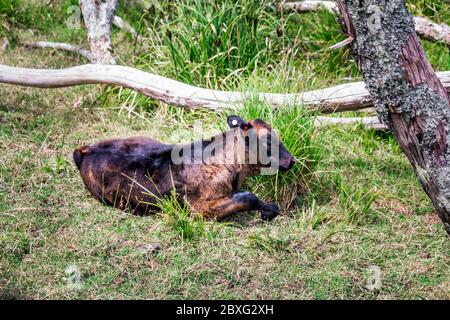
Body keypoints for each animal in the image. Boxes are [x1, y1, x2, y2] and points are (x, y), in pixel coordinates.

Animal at [72, 116, 294, 221]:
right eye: (268, 140)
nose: (292, 161)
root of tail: (85, 151)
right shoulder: (198, 208)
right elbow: (247, 197)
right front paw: (270, 210)